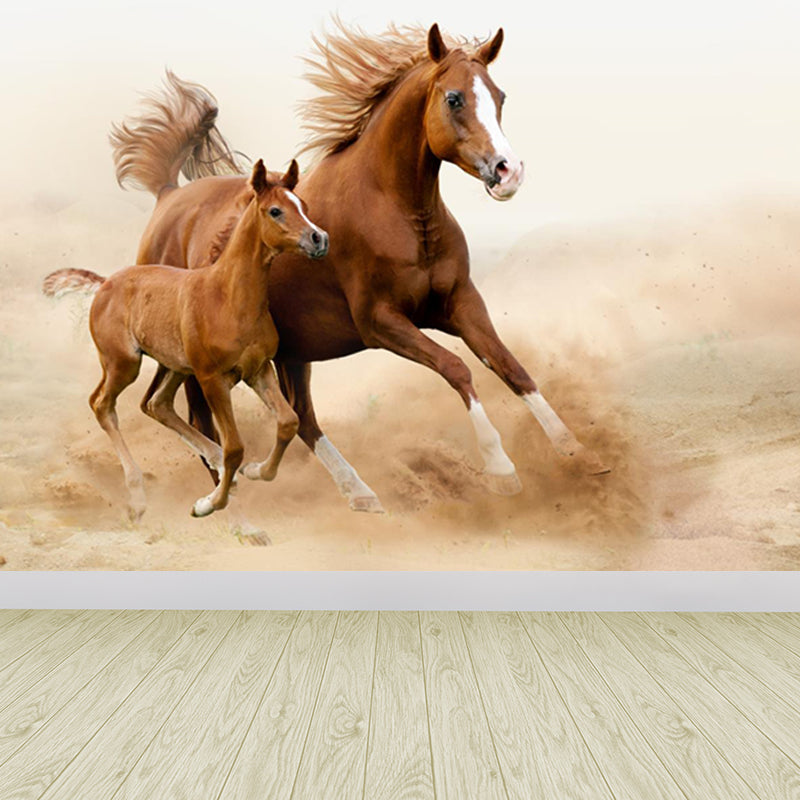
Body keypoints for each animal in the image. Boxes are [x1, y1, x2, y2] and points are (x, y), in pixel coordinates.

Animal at [47, 159, 328, 519]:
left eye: (302, 205)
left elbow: (288, 422)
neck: (228, 298)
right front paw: (208, 504)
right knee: (102, 404)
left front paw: (255, 471)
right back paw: (137, 496)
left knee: (156, 404)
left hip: (176, 367)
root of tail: (105, 282)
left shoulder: (258, 370)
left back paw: (215, 465)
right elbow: (235, 446)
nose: (319, 238)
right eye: (275, 210)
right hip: (124, 364)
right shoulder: (212, 379)